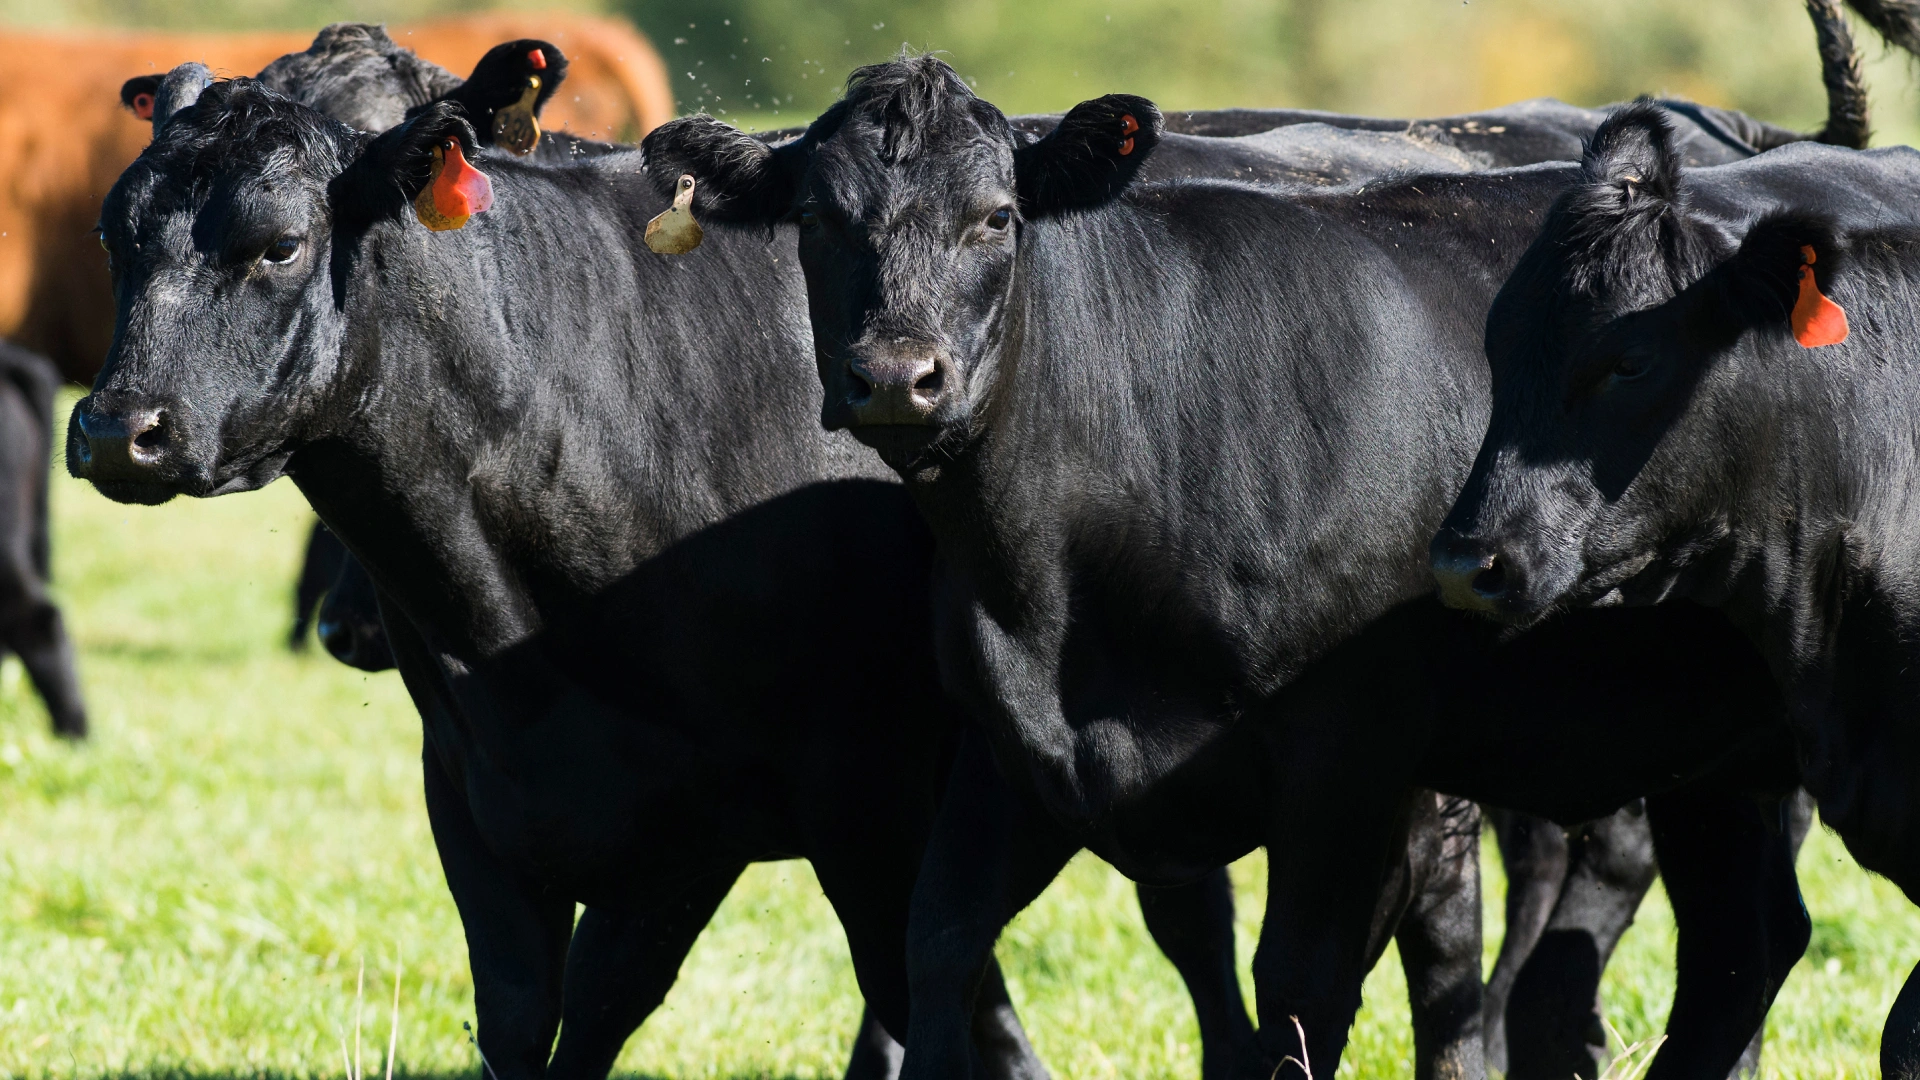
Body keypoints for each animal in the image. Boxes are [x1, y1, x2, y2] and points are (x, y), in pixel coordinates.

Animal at [635, 41, 1862, 1078]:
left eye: (996, 218)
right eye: (816, 216)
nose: (898, 376)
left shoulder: (1346, 761)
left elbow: (1299, 989)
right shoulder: (1010, 747)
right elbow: (937, 948)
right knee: (1746, 936)